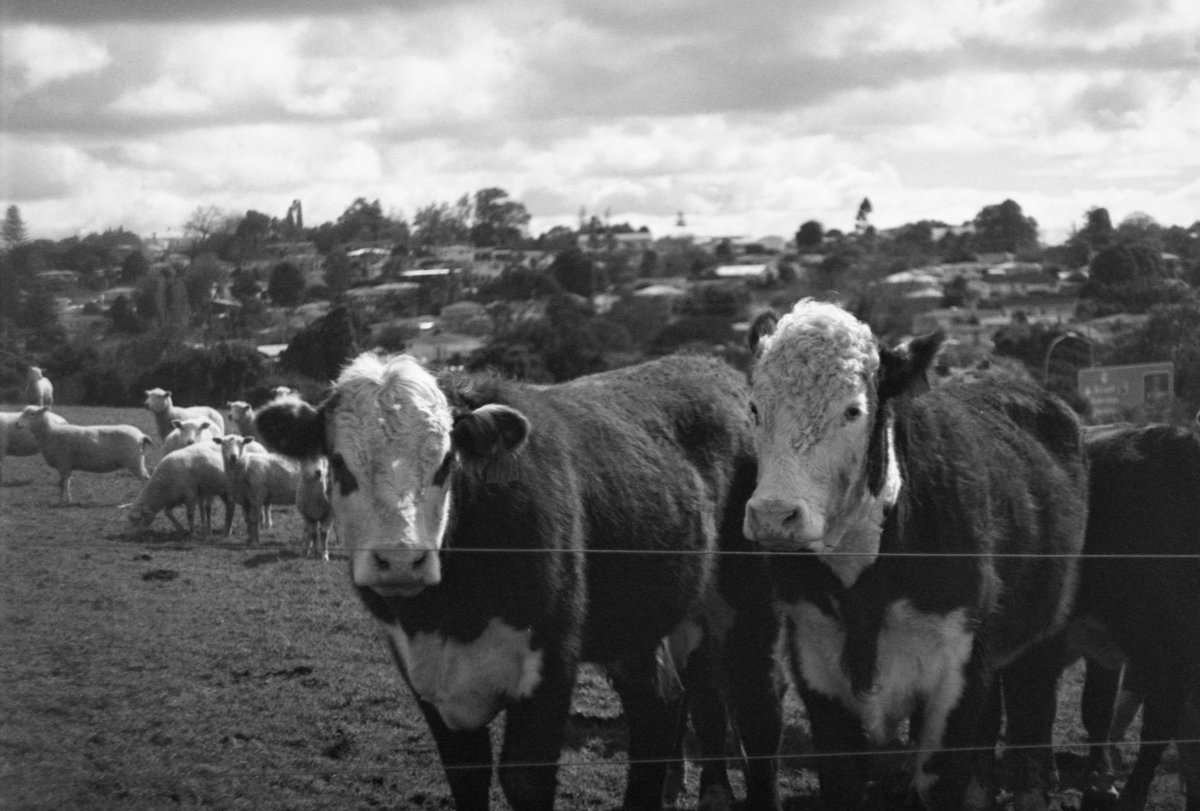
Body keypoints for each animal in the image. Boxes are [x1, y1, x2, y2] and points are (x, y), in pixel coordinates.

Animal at [254, 351, 783, 811]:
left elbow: (525, 778)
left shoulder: (549, 663)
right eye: (340, 463)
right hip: (641, 624)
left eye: (445, 463)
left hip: (744, 600)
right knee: (663, 706)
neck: (449, 616)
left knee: (756, 706)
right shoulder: (429, 683)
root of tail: (712, 367)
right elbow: (467, 776)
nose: (401, 560)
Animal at [742, 300, 1088, 810]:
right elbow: (843, 781)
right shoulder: (816, 665)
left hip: (1044, 638)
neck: (862, 575)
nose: (772, 515)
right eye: (754, 407)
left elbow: (938, 780)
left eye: (853, 410)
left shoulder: (957, 676)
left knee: (1032, 723)